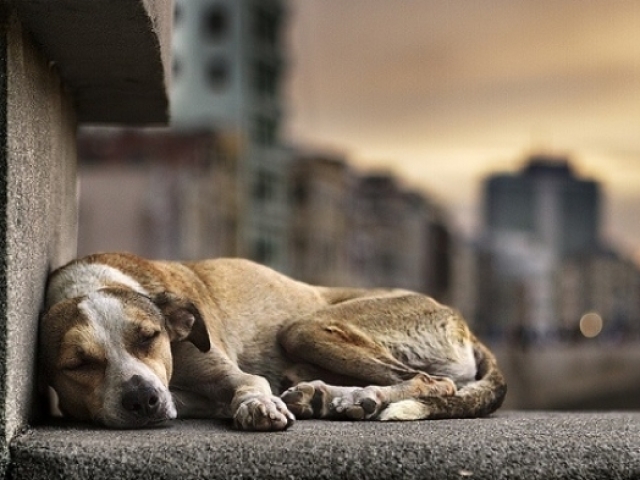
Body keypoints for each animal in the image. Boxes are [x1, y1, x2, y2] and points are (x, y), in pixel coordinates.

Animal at [40, 253, 508, 430]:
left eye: (149, 337)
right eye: (78, 364)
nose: (142, 401)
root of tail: (463, 323)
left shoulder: (224, 371)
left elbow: (248, 386)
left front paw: (256, 407)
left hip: (304, 328)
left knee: (433, 382)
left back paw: (361, 398)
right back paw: (325, 397)